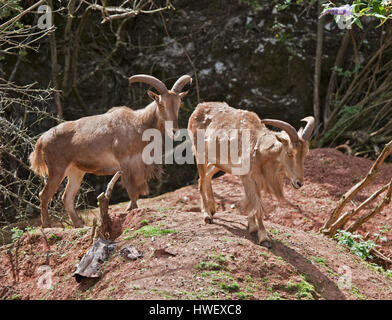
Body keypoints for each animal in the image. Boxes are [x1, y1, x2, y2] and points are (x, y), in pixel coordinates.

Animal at [29, 73, 191, 228]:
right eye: (161, 103)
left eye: (178, 103)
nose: (174, 131)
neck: (139, 124)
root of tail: (43, 138)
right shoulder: (126, 164)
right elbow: (132, 190)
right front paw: (131, 209)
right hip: (57, 169)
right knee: (44, 194)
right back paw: (47, 225)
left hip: (76, 171)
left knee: (67, 197)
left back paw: (79, 224)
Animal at [188, 102, 316, 248]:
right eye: (290, 153)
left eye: (305, 154)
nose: (299, 183)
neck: (259, 149)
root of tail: (198, 108)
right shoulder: (248, 178)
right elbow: (257, 206)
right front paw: (264, 237)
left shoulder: (258, 180)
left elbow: (255, 202)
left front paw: (252, 226)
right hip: (199, 154)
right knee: (201, 180)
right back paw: (207, 215)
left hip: (218, 163)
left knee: (206, 176)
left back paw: (212, 208)